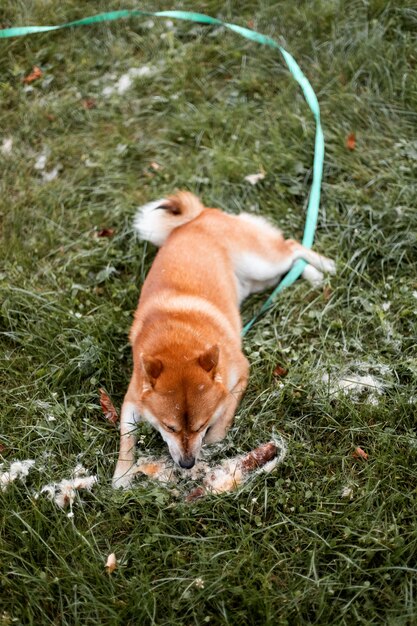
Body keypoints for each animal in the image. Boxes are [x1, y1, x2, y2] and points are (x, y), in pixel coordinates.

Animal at [112, 191, 334, 488]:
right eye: (170, 427)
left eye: (200, 425)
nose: (187, 463)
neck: (178, 340)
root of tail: (199, 216)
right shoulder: (132, 401)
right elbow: (126, 439)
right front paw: (122, 474)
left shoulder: (239, 376)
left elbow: (222, 419)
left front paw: (213, 442)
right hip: (257, 280)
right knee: (287, 266)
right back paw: (310, 274)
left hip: (260, 264)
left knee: (291, 248)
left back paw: (323, 266)